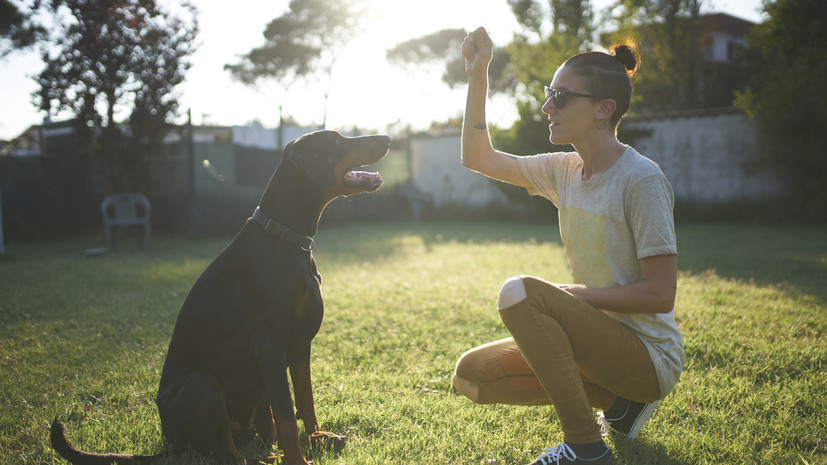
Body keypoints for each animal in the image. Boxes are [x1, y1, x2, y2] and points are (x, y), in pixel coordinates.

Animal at [51, 129, 392, 462]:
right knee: (231, 454)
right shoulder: (269, 344)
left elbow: (305, 399)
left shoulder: (299, 345)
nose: (387, 138)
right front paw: (299, 459)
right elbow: (286, 411)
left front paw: (317, 437)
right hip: (202, 386)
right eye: (336, 140)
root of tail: (169, 444)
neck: (284, 237)